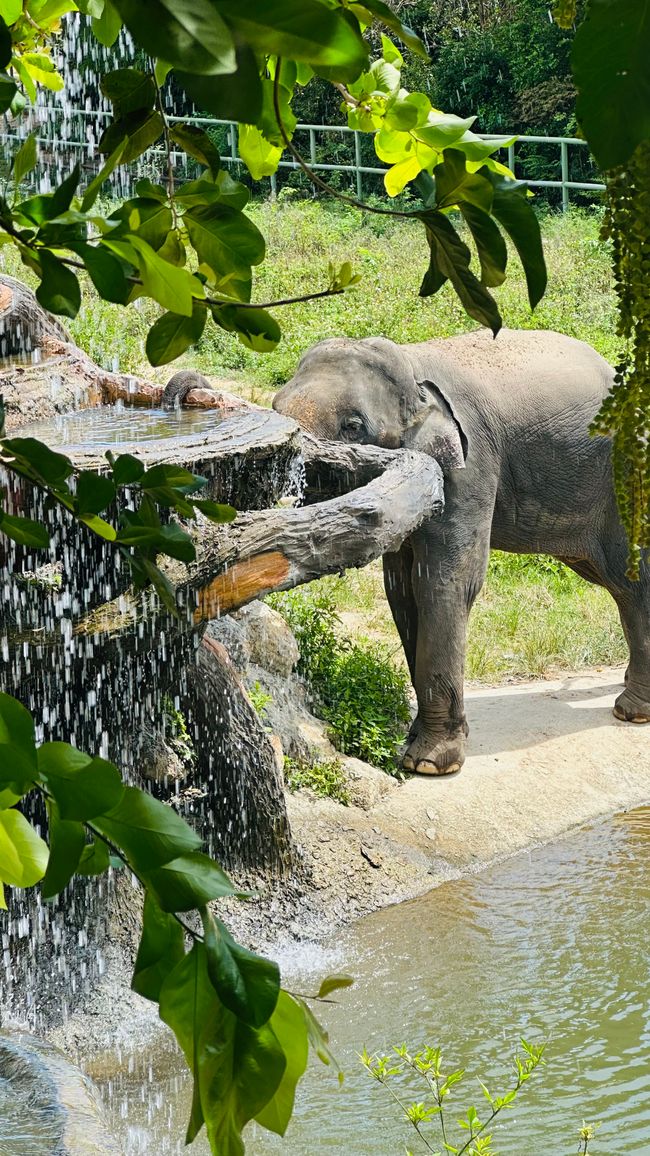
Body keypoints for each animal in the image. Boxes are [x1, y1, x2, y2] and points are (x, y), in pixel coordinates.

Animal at [272, 327, 650, 775]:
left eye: (353, 425)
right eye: (274, 406)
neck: (413, 365)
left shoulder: (471, 466)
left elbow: (446, 582)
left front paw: (430, 764)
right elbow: (402, 591)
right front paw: (416, 742)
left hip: (626, 472)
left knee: (630, 576)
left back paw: (633, 711)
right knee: (613, 580)